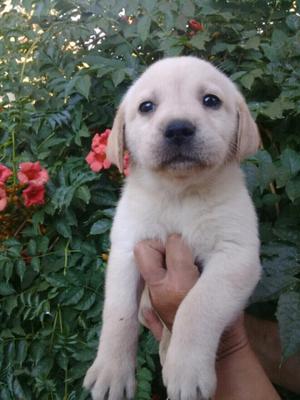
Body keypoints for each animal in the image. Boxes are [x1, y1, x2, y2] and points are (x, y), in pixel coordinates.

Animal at [83, 57, 262, 400]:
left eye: (211, 100)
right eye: (146, 106)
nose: (178, 128)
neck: (180, 195)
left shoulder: (236, 256)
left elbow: (196, 305)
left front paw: (187, 370)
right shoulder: (128, 249)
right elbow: (119, 313)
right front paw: (112, 371)